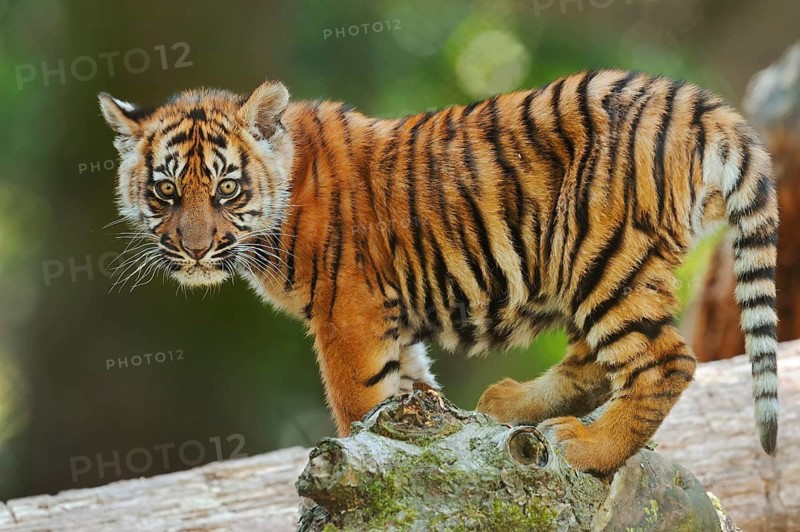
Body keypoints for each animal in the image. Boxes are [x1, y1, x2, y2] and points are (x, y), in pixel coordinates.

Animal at [99, 69, 779, 474]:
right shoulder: (386, 321)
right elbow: (410, 390)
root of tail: (694, 104)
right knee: (594, 360)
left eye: (226, 189)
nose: (192, 250)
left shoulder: (347, 315)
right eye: (165, 190)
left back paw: (584, 447)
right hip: (600, 266)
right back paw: (510, 404)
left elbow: (357, 409)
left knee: (665, 360)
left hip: (600, 252)